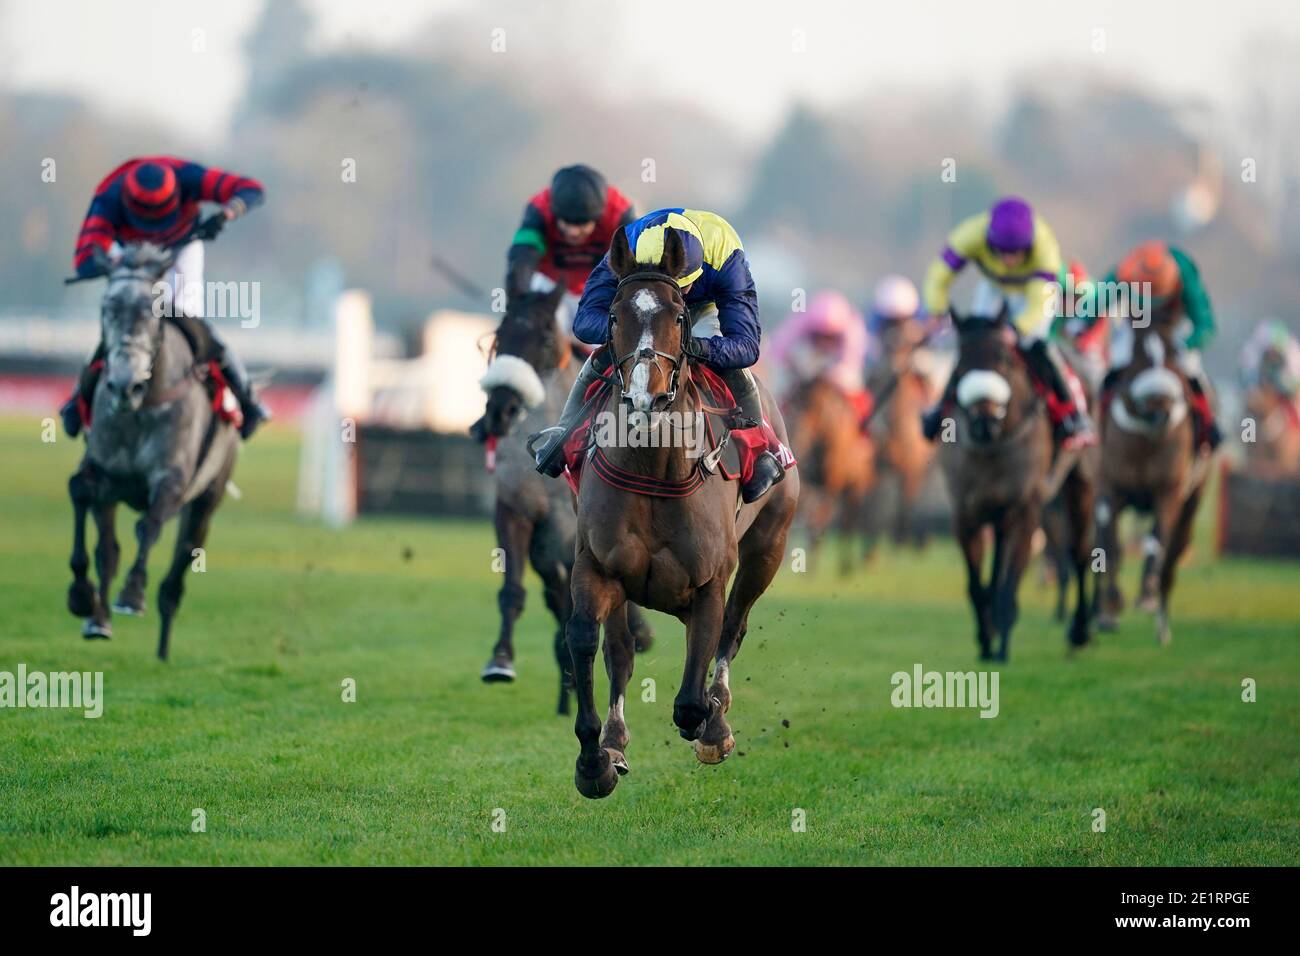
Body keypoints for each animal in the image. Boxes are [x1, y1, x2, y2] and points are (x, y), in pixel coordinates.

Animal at [65, 240, 240, 658]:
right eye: (107, 308)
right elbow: (80, 492)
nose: (124, 385)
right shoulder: (103, 472)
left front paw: (132, 594)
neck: (142, 407)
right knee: (108, 551)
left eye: (151, 310)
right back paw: (99, 620)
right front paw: (81, 595)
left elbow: (149, 525)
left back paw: (162, 648)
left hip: (206, 500)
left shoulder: (172, 479)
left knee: (177, 573)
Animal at [572, 227, 800, 796]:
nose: (643, 397)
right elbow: (587, 640)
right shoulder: (598, 567)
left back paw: (716, 718)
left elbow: (693, 693)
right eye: (614, 316)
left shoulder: (709, 582)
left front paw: (711, 726)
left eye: (678, 317)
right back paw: (615, 741)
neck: (656, 467)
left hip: (768, 548)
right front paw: (594, 759)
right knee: (620, 650)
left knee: (732, 629)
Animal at [780, 374, 873, 574]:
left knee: (848, 521)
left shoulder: (832, 484)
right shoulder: (807, 481)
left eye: (811, 408)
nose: (795, 437)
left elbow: (822, 517)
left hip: (857, 486)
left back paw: (846, 565)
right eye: (791, 403)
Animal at [941, 306, 1092, 658]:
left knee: (1079, 552)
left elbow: (1010, 583)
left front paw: (1002, 646)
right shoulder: (965, 512)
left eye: (1005, 361)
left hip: (1080, 481)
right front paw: (986, 636)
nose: (984, 421)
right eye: (960, 365)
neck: (992, 447)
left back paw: (1080, 631)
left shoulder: (1027, 509)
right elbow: (976, 584)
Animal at [1097, 319, 1206, 642]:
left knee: (1172, 556)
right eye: (1136, 358)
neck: (1143, 440)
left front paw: (1146, 594)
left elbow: (1157, 543)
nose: (1160, 411)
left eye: (1171, 355)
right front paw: (1110, 608)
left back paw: (1162, 623)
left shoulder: (1167, 491)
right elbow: (1110, 547)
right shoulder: (1110, 487)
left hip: (1191, 503)